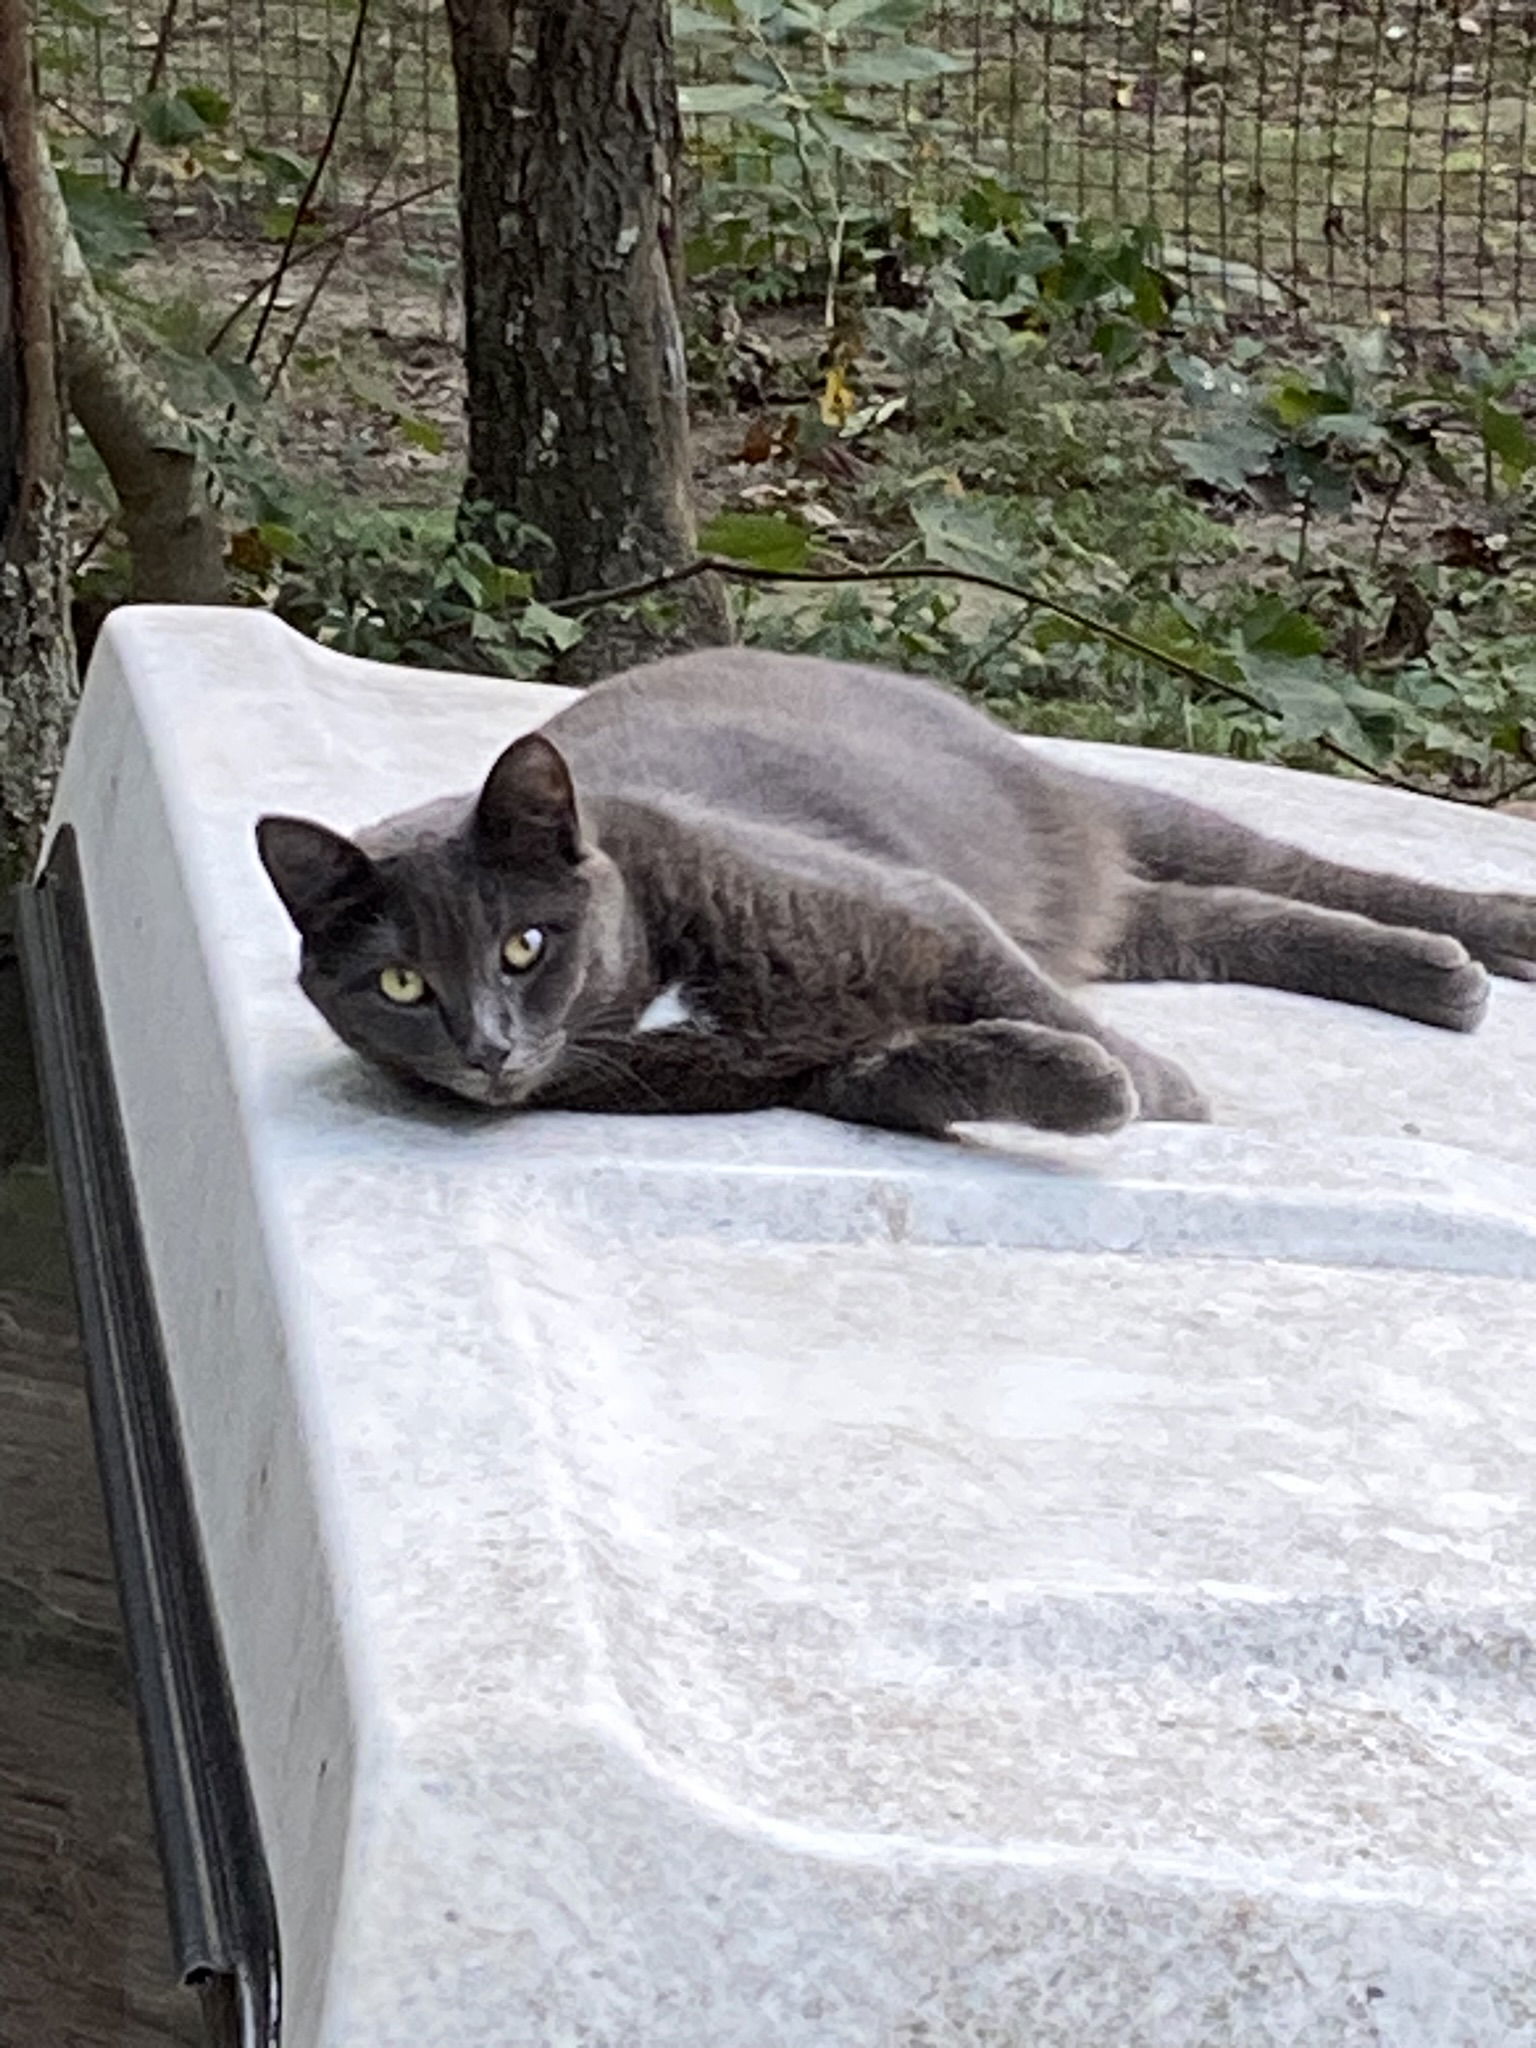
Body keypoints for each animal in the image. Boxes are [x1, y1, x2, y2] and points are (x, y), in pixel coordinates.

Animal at [256, 647, 1536, 1138]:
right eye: (402, 983)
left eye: (524, 944)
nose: (487, 1044)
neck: (654, 1001)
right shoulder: (821, 1072)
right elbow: (936, 1069)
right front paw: (1088, 1087)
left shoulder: (926, 912)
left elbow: (1028, 1003)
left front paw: (1162, 1093)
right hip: (1123, 912)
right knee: (1239, 924)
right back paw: (1441, 979)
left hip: (1080, 809)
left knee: (1286, 867)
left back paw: (1489, 939)